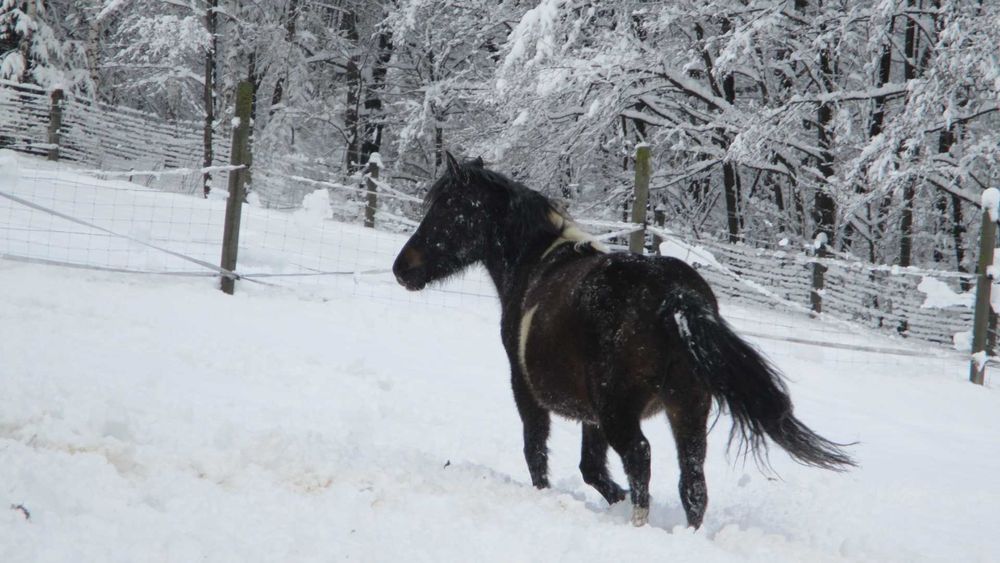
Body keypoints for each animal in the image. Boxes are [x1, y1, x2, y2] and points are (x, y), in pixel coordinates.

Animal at [390, 153, 852, 528]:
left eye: (449, 210)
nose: (402, 268)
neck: (536, 265)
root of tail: (674, 296)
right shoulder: (591, 413)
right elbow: (591, 468)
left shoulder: (529, 392)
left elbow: (539, 454)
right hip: (687, 409)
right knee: (693, 482)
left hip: (624, 413)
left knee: (640, 458)